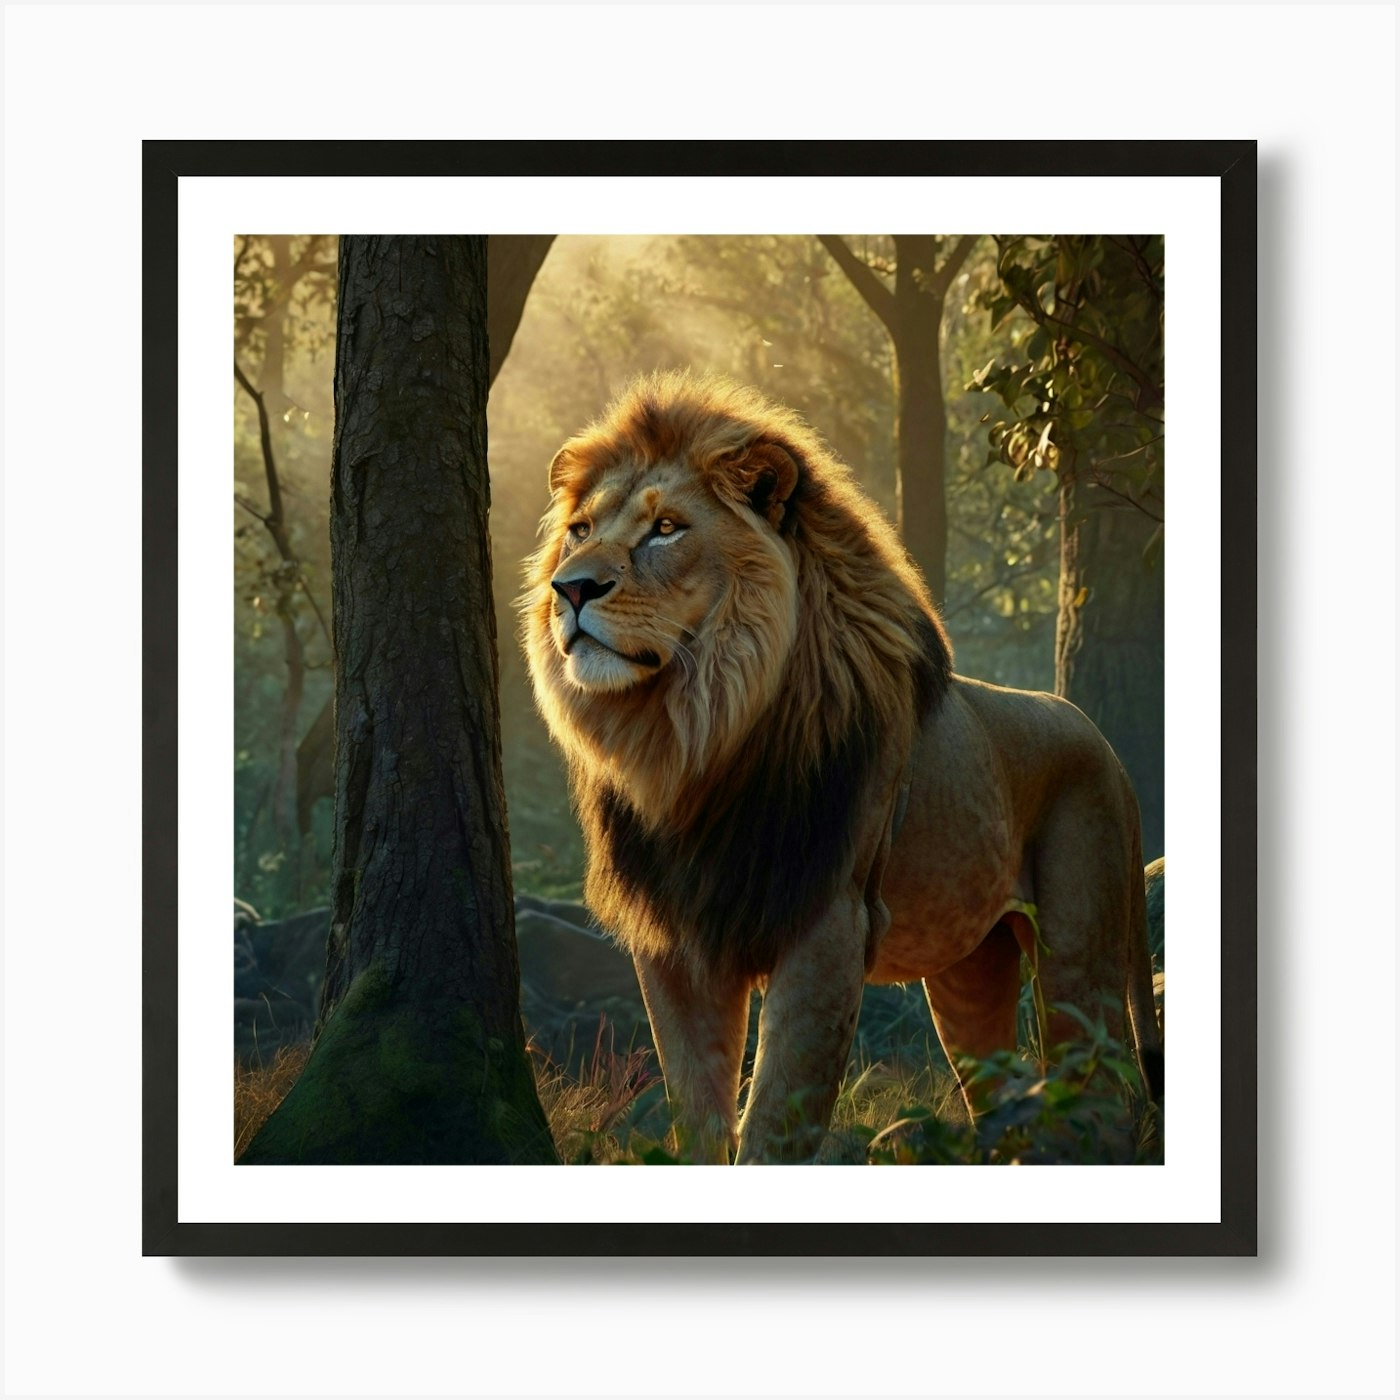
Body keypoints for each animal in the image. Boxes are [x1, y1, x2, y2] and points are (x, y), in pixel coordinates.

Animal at [522, 373, 1161, 1164]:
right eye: (580, 531)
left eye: (666, 528)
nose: (570, 589)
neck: (692, 737)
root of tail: (1099, 738)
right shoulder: (675, 938)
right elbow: (695, 1113)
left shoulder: (827, 924)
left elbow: (776, 1117)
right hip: (968, 970)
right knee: (1000, 1091)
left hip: (1079, 948)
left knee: (1101, 1095)